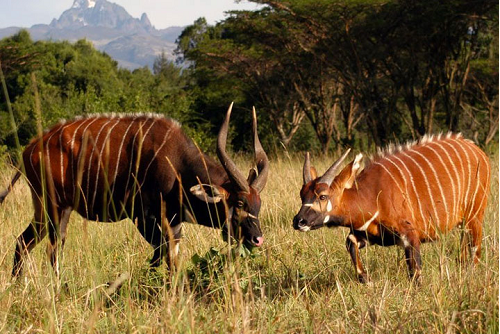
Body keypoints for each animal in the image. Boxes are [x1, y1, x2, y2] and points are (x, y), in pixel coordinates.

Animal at [0, 103, 270, 276]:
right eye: (239, 203)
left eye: (259, 204)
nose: (257, 238)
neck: (176, 162)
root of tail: (31, 147)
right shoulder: (143, 217)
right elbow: (162, 255)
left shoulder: (174, 222)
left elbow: (170, 257)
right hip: (53, 208)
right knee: (41, 247)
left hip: (54, 211)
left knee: (33, 244)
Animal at [294, 133, 490, 282]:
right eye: (302, 195)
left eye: (322, 196)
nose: (299, 221)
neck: (371, 194)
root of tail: (480, 152)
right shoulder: (369, 235)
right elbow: (350, 242)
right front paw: (365, 278)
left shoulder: (410, 235)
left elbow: (415, 273)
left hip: (475, 217)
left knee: (475, 250)